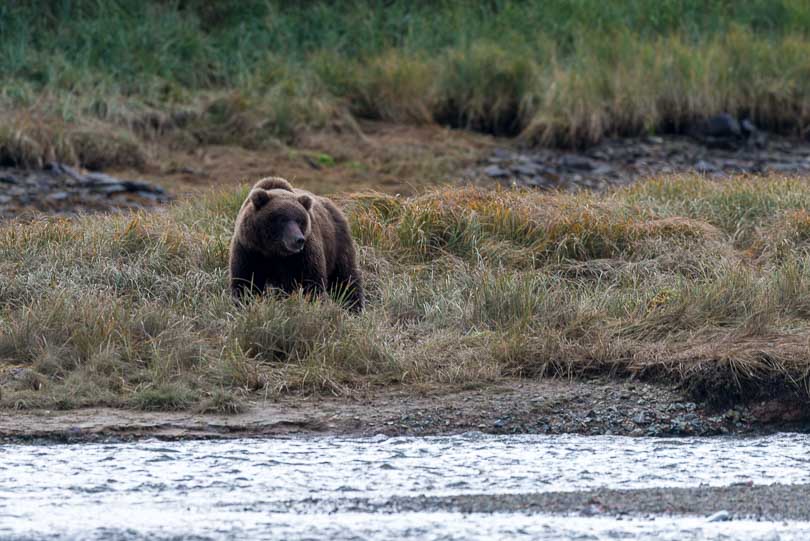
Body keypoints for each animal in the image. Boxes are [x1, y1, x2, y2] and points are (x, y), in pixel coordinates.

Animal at [229, 176, 364, 310]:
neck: (274, 251)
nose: (298, 239)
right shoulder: (249, 250)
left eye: (300, 220)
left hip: (337, 243)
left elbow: (311, 282)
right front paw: (243, 303)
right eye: (282, 219)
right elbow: (246, 282)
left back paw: (354, 307)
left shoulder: (303, 254)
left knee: (345, 277)